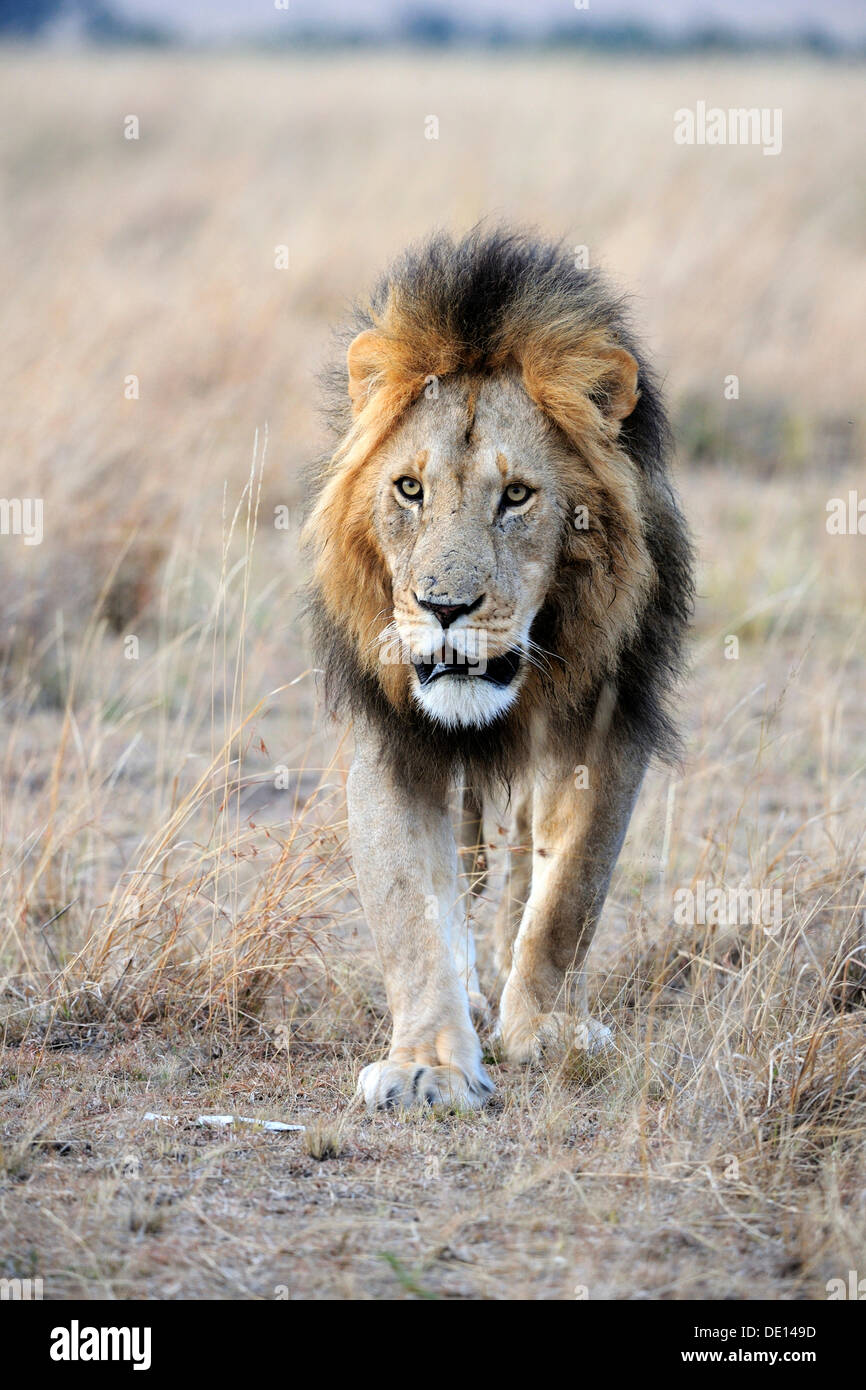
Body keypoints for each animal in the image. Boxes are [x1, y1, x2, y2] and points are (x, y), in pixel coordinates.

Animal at [308, 230, 695, 1117]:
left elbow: (568, 896)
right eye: (408, 489)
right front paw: (428, 1063)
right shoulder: (393, 737)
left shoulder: (604, 726)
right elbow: (410, 909)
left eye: (517, 496)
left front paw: (547, 1029)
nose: (444, 607)